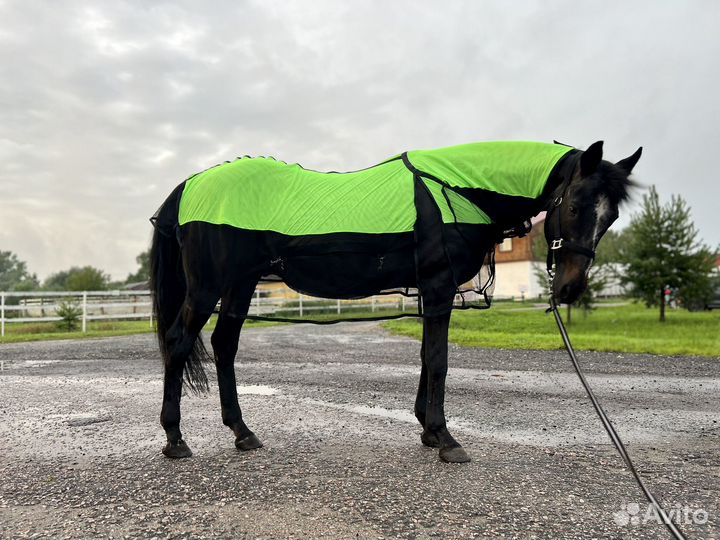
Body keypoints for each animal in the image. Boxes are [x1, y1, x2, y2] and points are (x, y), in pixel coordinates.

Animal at [149, 140, 641, 463]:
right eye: (574, 206)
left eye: (611, 215)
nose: (571, 289)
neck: (457, 187)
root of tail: (190, 185)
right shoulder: (440, 287)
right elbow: (439, 359)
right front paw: (445, 438)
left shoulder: (432, 292)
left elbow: (426, 356)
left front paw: (428, 429)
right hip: (208, 288)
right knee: (178, 342)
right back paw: (175, 438)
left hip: (240, 285)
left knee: (224, 346)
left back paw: (242, 432)